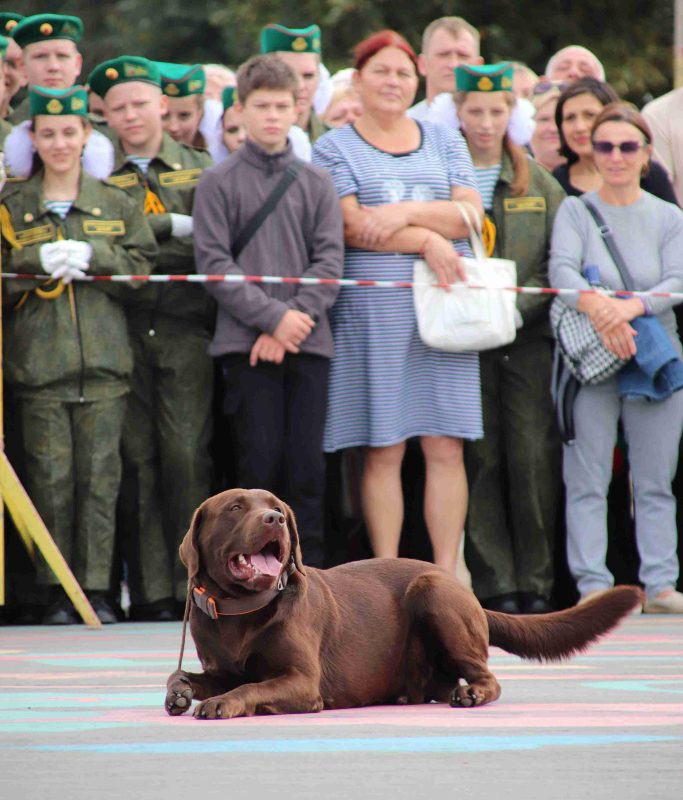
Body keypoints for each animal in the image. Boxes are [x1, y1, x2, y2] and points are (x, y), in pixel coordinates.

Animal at [166, 488, 640, 720]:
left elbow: (251, 686)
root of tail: (466, 590)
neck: (241, 612)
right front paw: (182, 692)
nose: (276, 519)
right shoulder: (221, 666)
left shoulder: (302, 681)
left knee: (488, 677)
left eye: (277, 507)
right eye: (235, 507)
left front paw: (220, 704)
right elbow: (190, 676)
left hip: (434, 591)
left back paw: (472, 694)